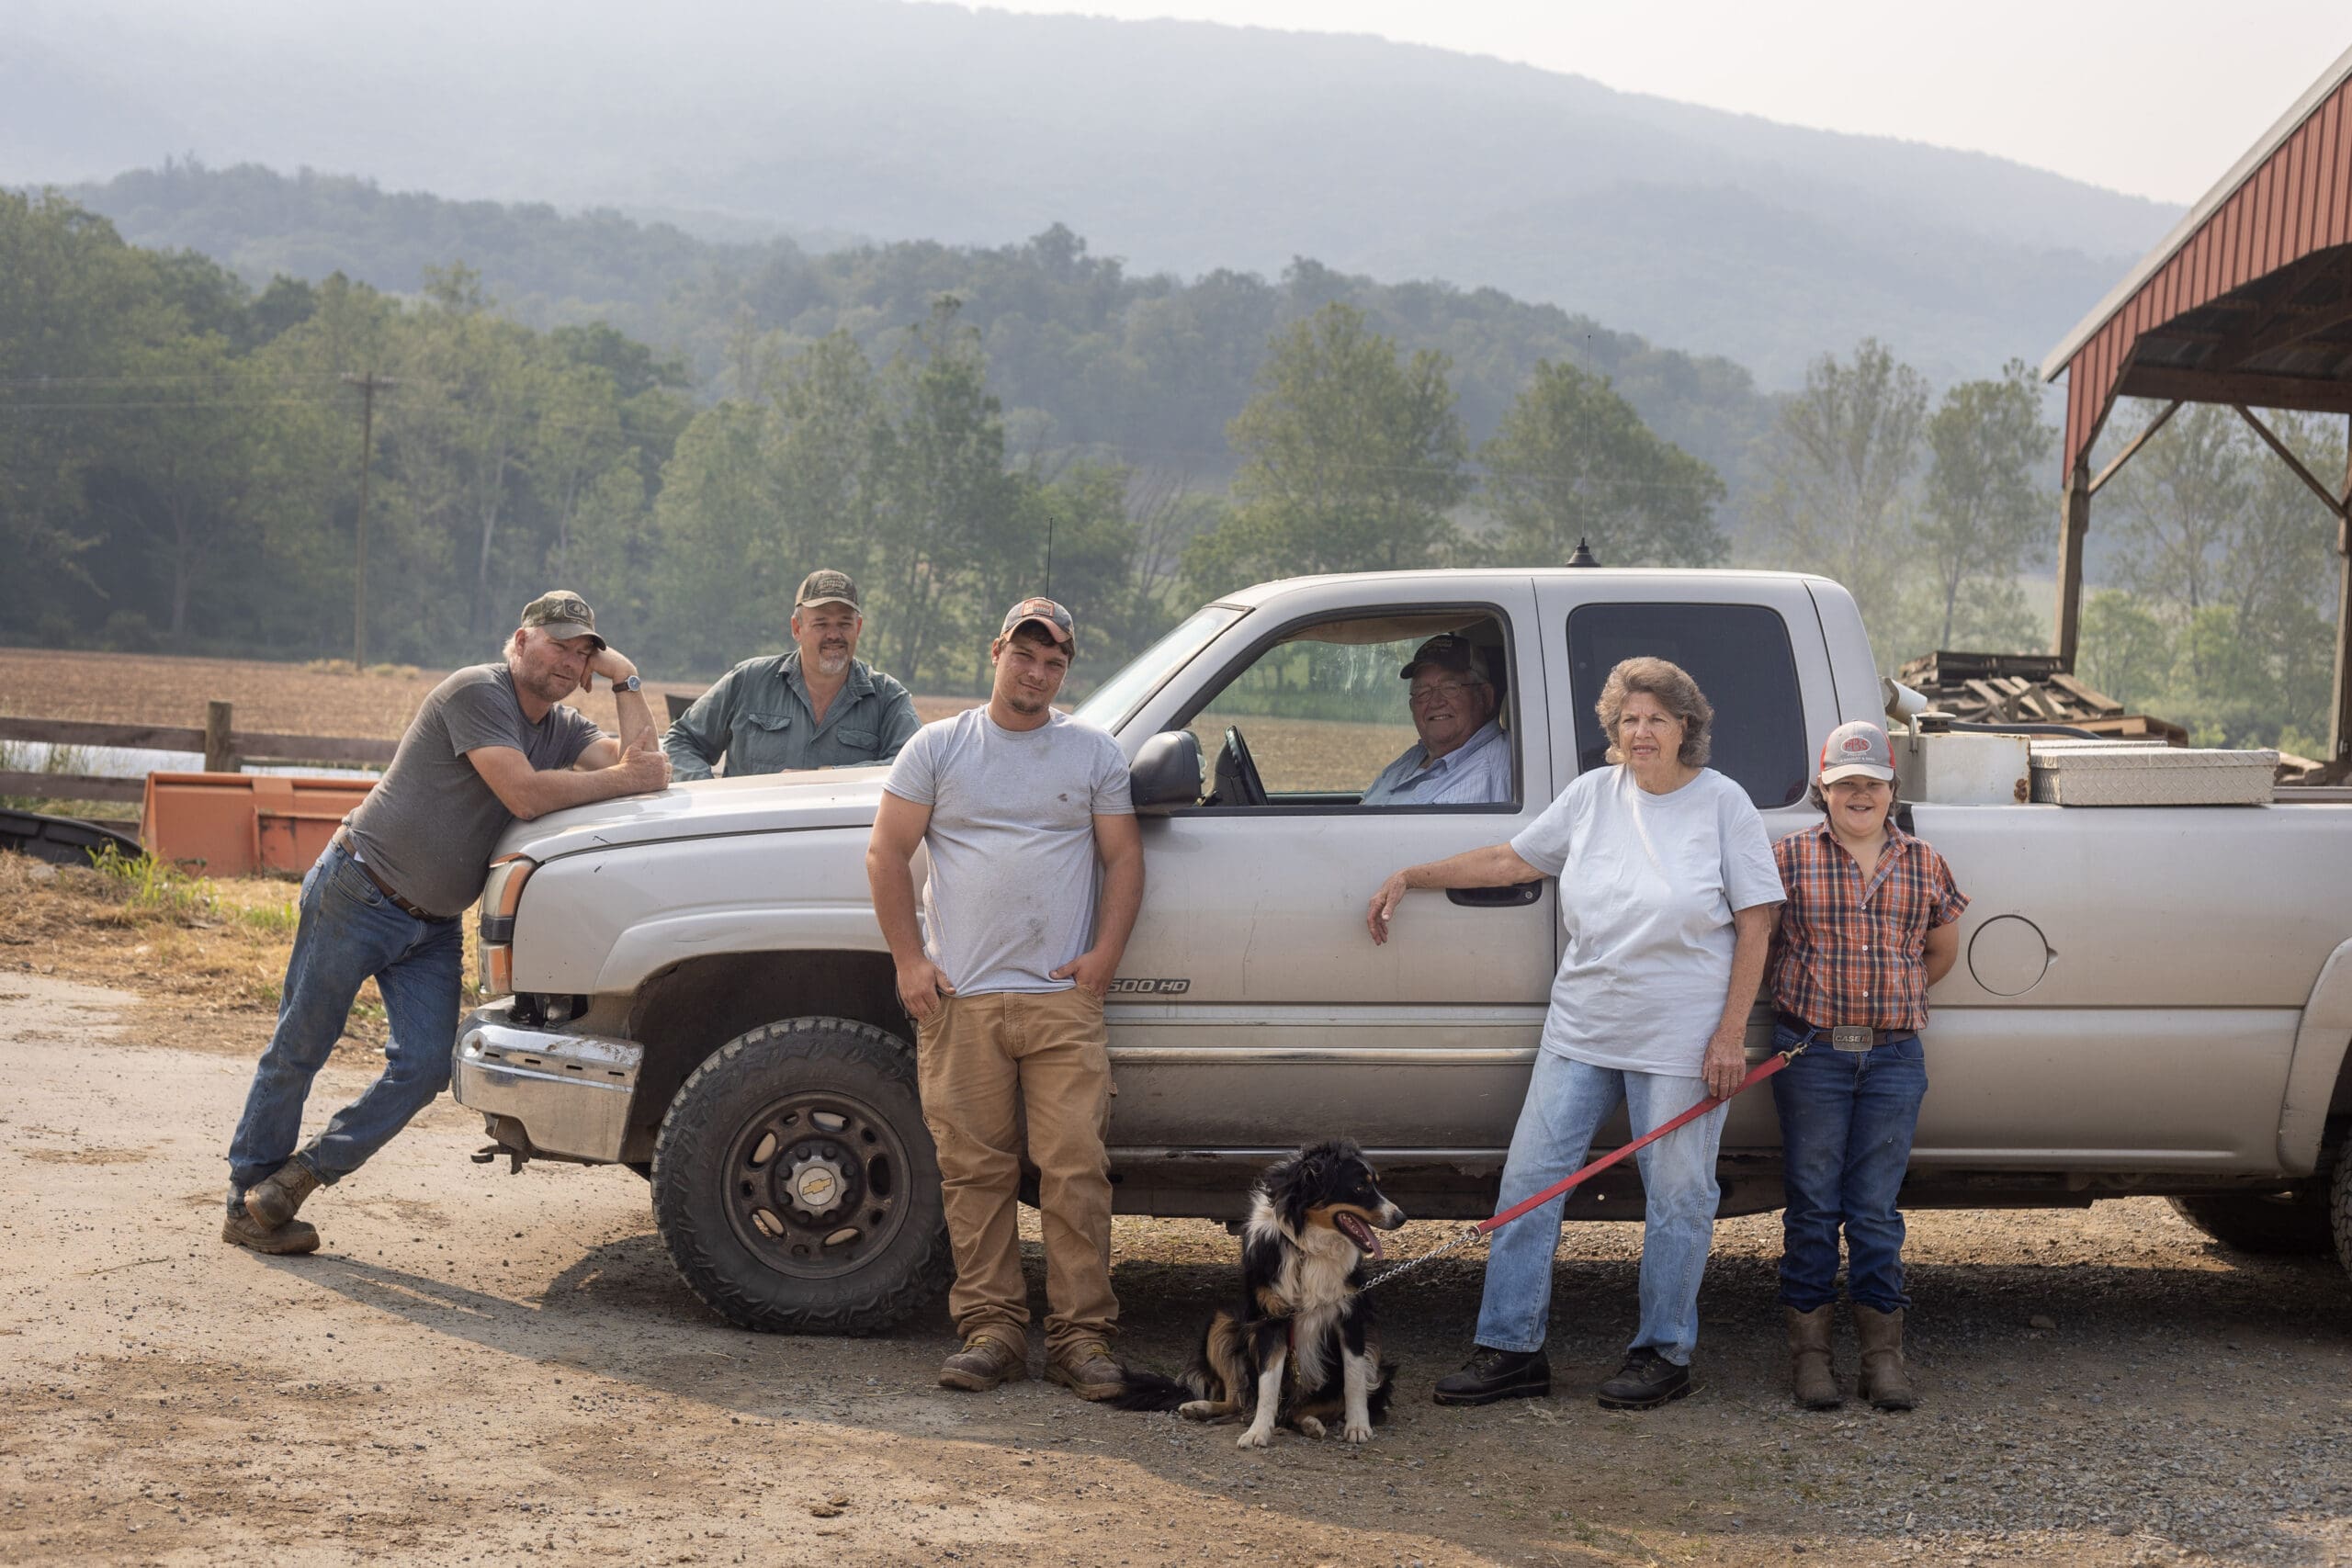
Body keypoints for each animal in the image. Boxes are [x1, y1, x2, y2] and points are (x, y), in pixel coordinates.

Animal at [1114, 1142, 1392, 1448]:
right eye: (1359, 1187)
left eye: (1375, 1185)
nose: (1400, 1217)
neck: (1306, 1249)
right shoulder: (1270, 1319)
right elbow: (1268, 1382)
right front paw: (1258, 1431)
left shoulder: (1351, 1316)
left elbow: (1353, 1378)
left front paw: (1358, 1425)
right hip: (1222, 1323)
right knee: (1239, 1400)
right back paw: (1200, 1407)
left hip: (1375, 1363)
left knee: (1299, 1410)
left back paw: (1310, 1423)